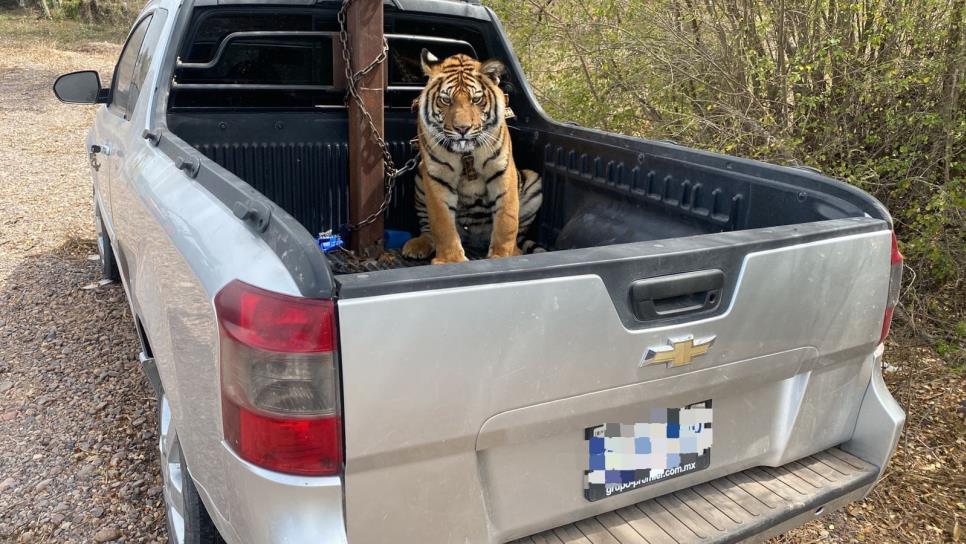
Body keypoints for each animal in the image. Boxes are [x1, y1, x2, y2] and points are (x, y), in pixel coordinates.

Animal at [398, 50, 540, 264]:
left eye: (476, 100)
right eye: (446, 100)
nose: (462, 129)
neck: (466, 153)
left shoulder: (502, 171)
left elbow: (507, 220)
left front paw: (502, 256)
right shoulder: (437, 176)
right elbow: (442, 224)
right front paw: (451, 260)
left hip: (533, 180)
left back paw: (515, 251)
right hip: (420, 177)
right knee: (428, 229)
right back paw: (418, 245)